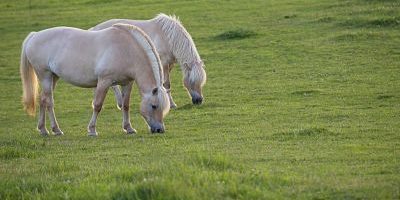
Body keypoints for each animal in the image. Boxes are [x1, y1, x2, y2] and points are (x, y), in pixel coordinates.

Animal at [19, 23, 170, 136]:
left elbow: (125, 105)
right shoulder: (104, 82)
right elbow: (97, 105)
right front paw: (92, 130)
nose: (159, 130)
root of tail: (34, 35)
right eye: (154, 106)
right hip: (45, 76)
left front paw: (129, 128)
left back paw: (43, 129)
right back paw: (56, 130)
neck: (125, 50)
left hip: (53, 77)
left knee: (43, 100)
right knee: (49, 102)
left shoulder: (127, 83)